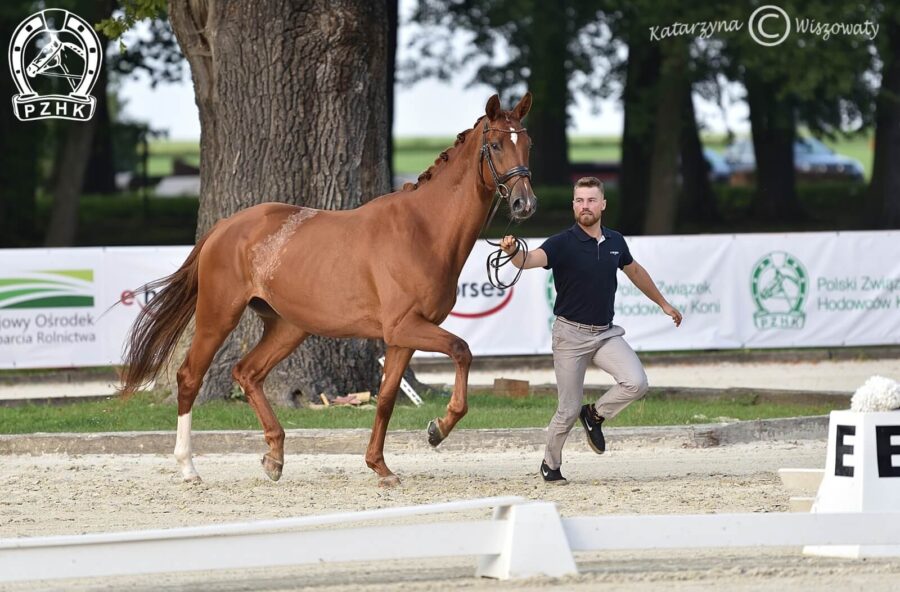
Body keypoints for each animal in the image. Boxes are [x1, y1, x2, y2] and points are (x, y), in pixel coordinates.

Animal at [119, 93, 536, 486]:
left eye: (527, 142)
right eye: (496, 144)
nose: (525, 203)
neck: (424, 229)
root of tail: (224, 227)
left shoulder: (403, 337)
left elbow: (386, 399)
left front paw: (381, 467)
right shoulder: (405, 327)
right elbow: (461, 351)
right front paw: (438, 429)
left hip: (289, 327)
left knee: (248, 372)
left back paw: (274, 457)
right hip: (218, 316)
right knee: (190, 377)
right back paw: (188, 467)